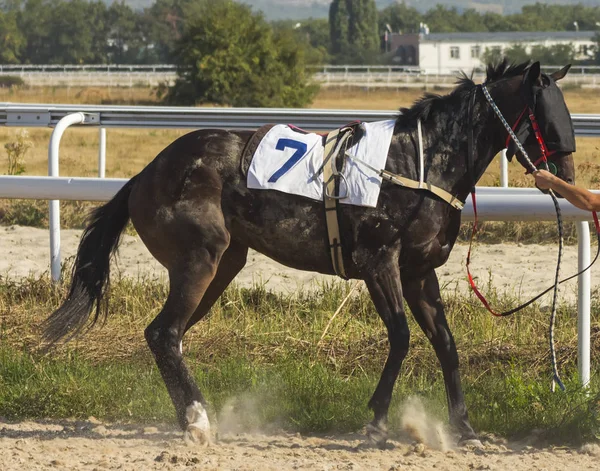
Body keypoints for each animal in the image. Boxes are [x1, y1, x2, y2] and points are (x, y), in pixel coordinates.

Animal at [45, 60, 576, 448]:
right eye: (548, 121)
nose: (566, 179)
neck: (418, 166)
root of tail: (145, 173)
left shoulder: (419, 272)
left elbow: (445, 343)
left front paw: (464, 429)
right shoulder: (379, 262)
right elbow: (402, 337)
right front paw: (376, 423)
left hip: (222, 265)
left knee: (167, 336)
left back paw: (189, 416)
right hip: (199, 259)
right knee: (165, 332)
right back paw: (197, 420)